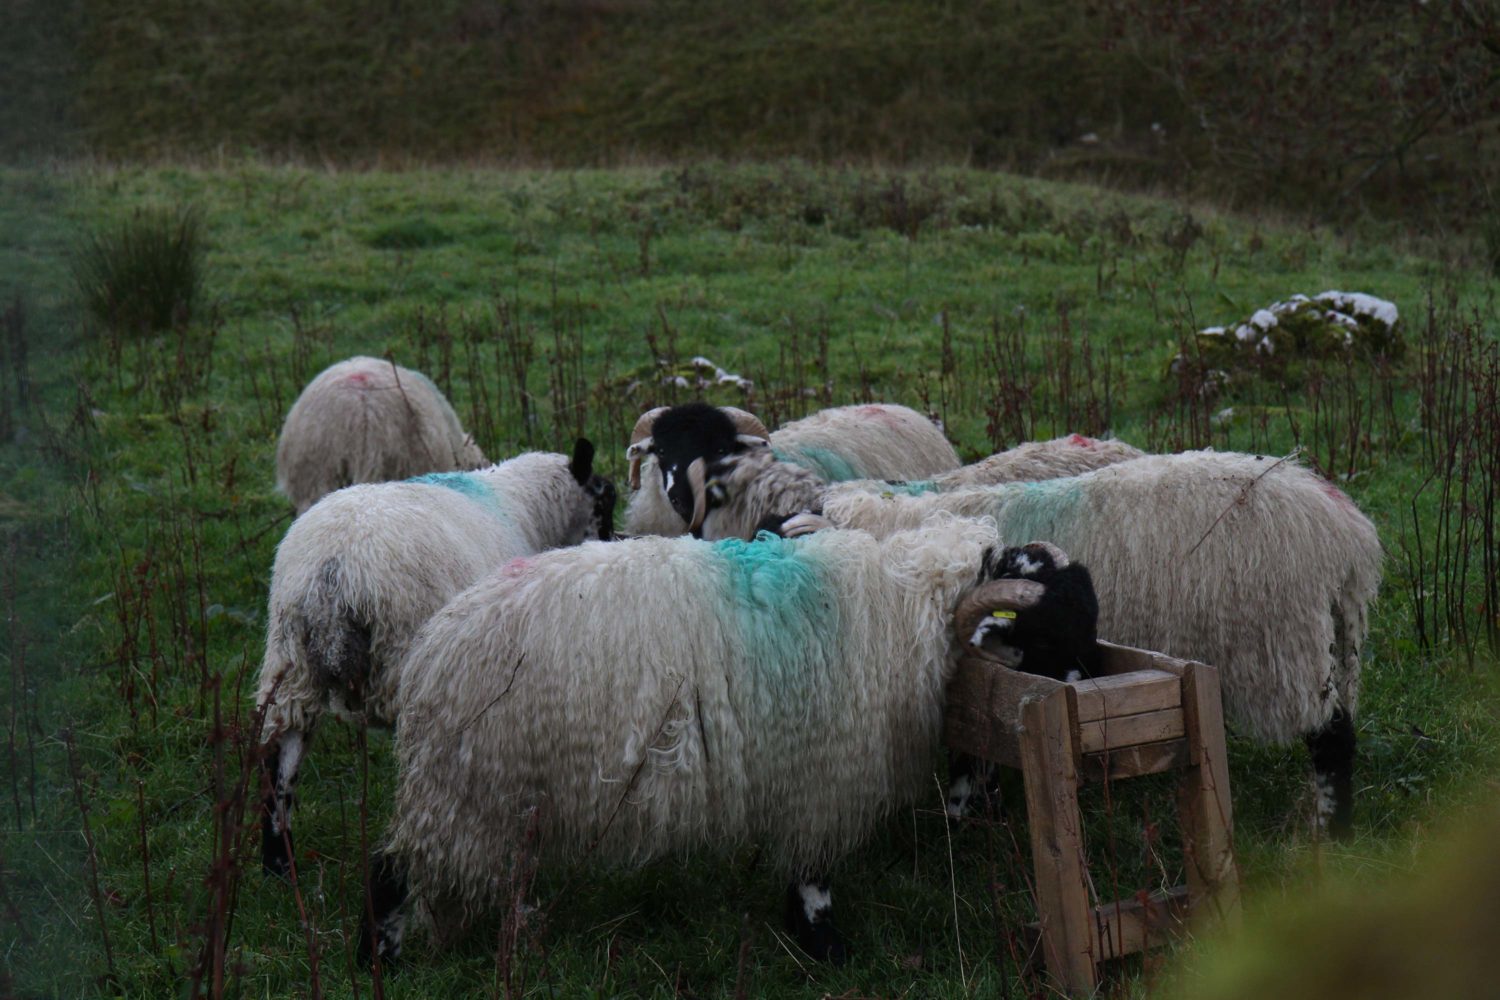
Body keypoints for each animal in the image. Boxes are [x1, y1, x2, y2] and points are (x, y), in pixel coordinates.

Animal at [258, 443, 615, 875]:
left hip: (290, 660)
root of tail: (334, 569)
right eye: (606, 499)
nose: (615, 541)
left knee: (279, 755)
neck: (525, 507)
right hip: (404, 658)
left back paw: (278, 861)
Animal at [360, 512, 1020, 965]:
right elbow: (814, 874)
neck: (901, 612)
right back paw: (383, 960)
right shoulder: (823, 776)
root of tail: (431, 652)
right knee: (393, 865)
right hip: (470, 784)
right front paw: (827, 949)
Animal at [822, 452, 1380, 839]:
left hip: (1287, 643)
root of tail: (1347, 537)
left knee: (1331, 736)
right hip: (1333, 640)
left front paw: (965, 817)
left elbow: (969, 757)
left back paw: (1330, 832)